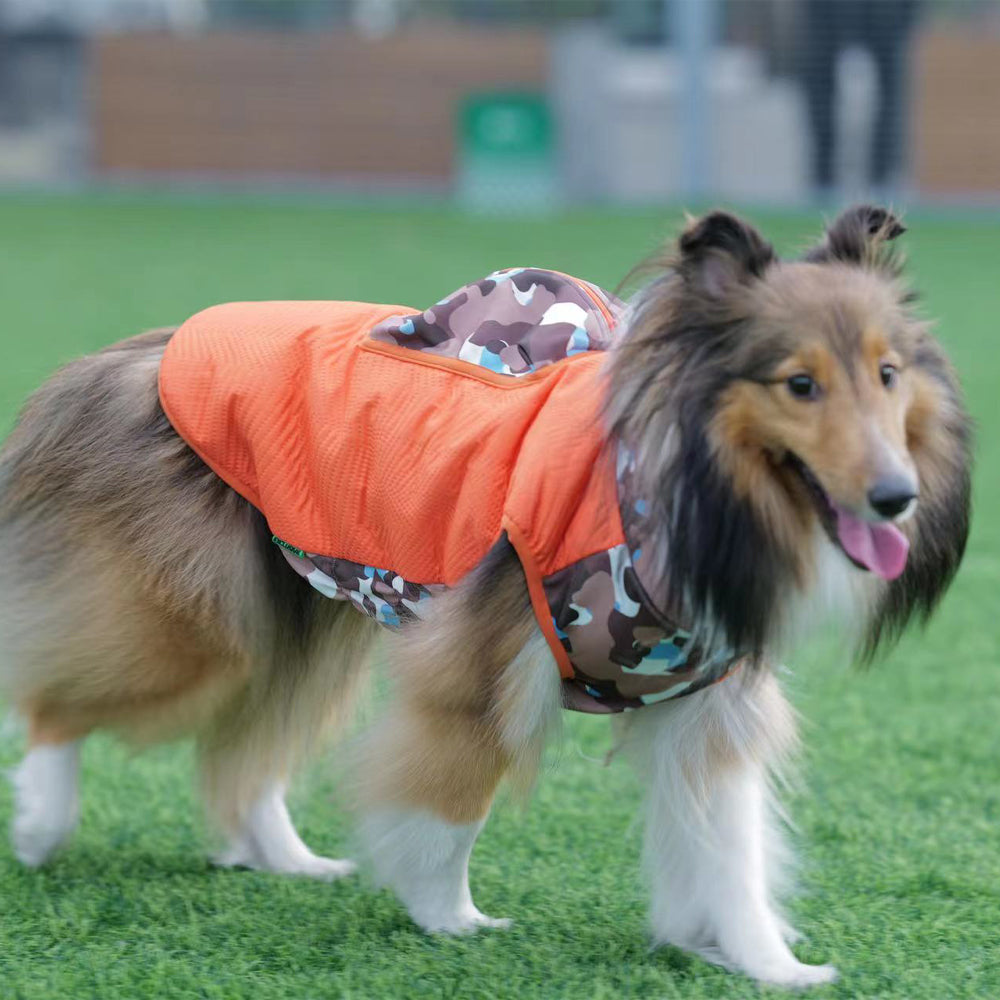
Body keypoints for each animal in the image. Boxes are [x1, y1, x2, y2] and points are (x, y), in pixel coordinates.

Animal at [0, 207, 968, 988]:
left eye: (888, 374)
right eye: (800, 384)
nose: (896, 498)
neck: (665, 496)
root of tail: (131, 354)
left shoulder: (704, 698)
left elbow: (729, 849)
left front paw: (771, 966)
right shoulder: (479, 665)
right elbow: (454, 805)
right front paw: (452, 920)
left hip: (295, 614)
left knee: (247, 748)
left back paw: (287, 858)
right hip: (196, 630)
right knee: (59, 697)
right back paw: (43, 823)